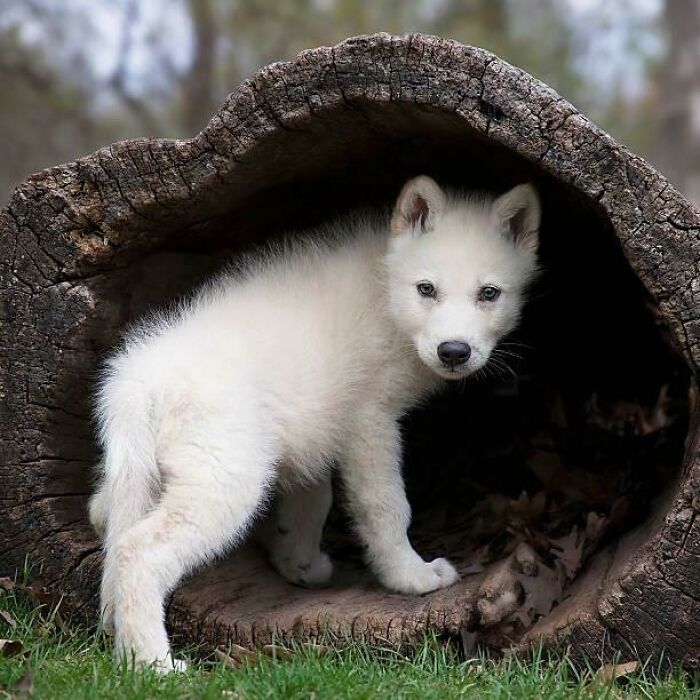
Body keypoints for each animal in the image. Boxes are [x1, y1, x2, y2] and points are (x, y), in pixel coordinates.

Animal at [88, 176, 541, 671]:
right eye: (426, 289)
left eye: (489, 294)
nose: (454, 351)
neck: (385, 293)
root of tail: (139, 379)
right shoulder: (370, 421)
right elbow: (386, 508)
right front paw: (410, 576)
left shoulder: (318, 424)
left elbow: (313, 499)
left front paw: (299, 563)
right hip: (224, 482)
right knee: (137, 553)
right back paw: (153, 666)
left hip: (146, 476)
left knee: (102, 517)